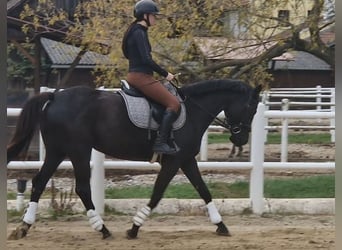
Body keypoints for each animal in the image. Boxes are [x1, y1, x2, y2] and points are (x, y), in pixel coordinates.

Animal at [7, 79, 262, 240]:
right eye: (251, 107)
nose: (240, 138)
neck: (193, 111)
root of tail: (54, 96)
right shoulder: (173, 161)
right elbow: (157, 194)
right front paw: (134, 227)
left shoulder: (187, 159)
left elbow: (204, 190)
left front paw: (221, 225)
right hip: (79, 150)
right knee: (81, 189)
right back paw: (102, 229)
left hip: (57, 152)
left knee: (39, 182)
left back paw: (24, 227)